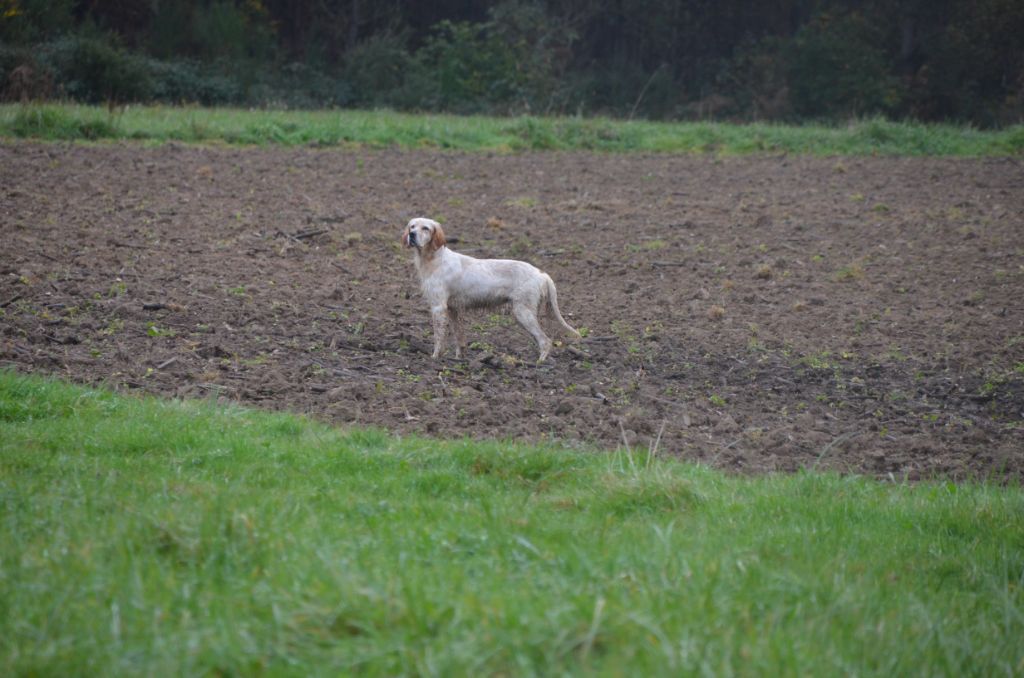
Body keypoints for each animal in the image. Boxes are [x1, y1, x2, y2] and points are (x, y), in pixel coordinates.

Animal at [401, 220, 581, 364]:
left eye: (425, 228)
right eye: (412, 226)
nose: (412, 234)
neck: (434, 259)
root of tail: (541, 273)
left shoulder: (438, 307)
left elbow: (439, 337)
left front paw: (434, 358)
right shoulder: (453, 309)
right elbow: (459, 338)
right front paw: (459, 358)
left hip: (523, 312)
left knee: (545, 340)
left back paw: (539, 363)